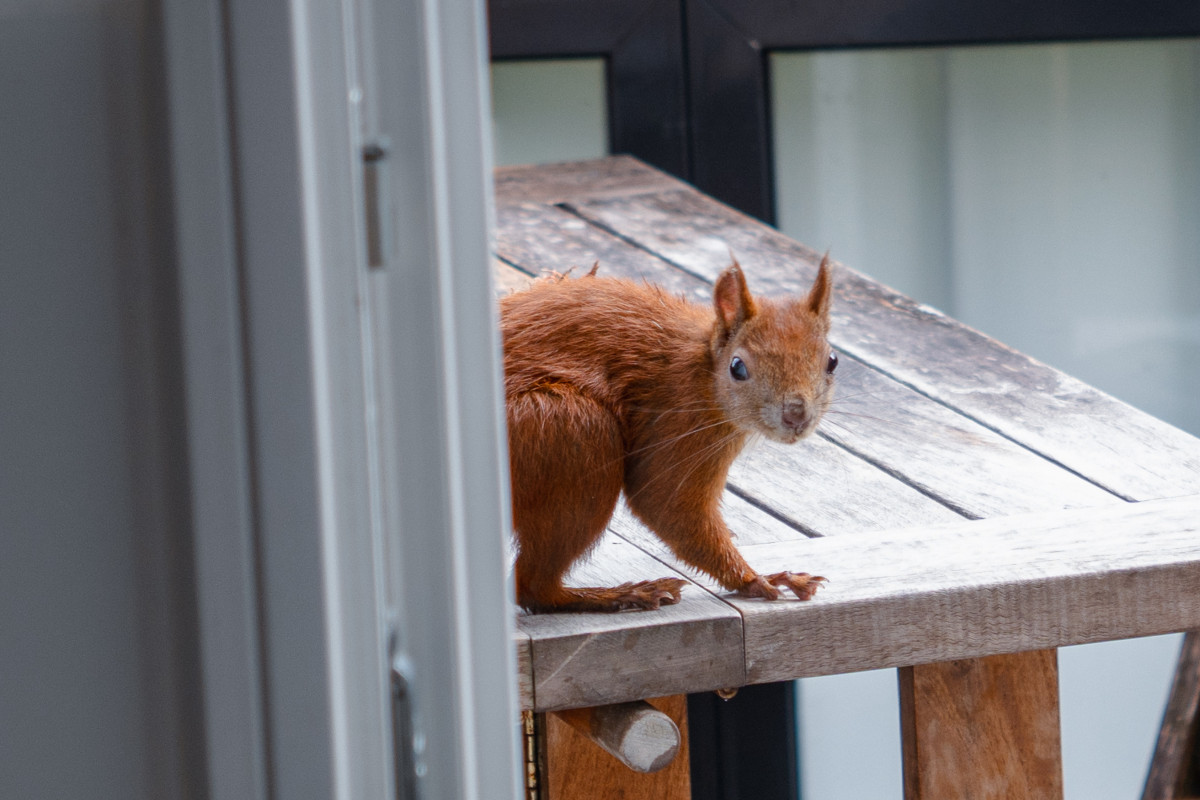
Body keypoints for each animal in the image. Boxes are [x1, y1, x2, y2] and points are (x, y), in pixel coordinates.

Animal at [499, 256, 835, 614]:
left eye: (832, 361)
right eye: (737, 367)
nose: (796, 415)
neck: (705, 368)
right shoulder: (681, 421)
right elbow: (665, 500)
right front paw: (757, 579)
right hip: (570, 431)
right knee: (533, 589)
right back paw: (620, 595)